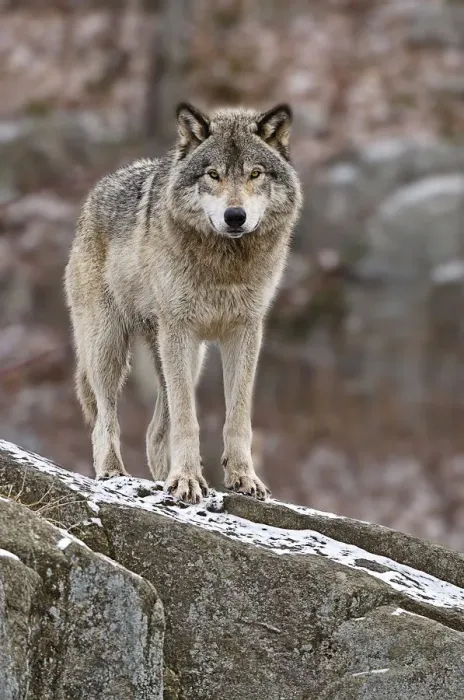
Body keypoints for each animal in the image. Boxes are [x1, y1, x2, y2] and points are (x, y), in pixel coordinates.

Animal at [64, 102, 302, 503]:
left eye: (255, 173)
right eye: (213, 174)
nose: (235, 216)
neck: (225, 267)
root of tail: (98, 189)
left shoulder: (245, 331)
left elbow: (238, 417)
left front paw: (243, 478)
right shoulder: (180, 329)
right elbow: (187, 420)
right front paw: (187, 481)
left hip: (188, 357)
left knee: (156, 430)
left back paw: (163, 475)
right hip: (110, 346)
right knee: (105, 419)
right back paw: (113, 472)